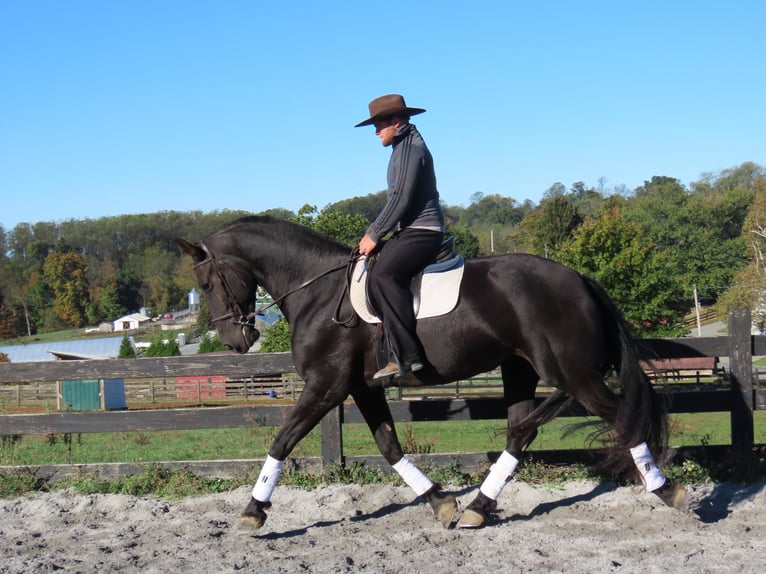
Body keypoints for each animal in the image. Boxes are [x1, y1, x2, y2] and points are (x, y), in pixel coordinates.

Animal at [177, 215, 687, 529]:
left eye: (205, 283)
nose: (235, 340)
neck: (319, 293)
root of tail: (581, 279)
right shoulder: (362, 388)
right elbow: (389, 446)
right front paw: (442, 502)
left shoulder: (325, 386)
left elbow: (281, 441)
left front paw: (254, 511)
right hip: (521, 369)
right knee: (520, 431)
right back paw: (479, 507)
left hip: (569, 372)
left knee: (620, 416)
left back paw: (668, 492)